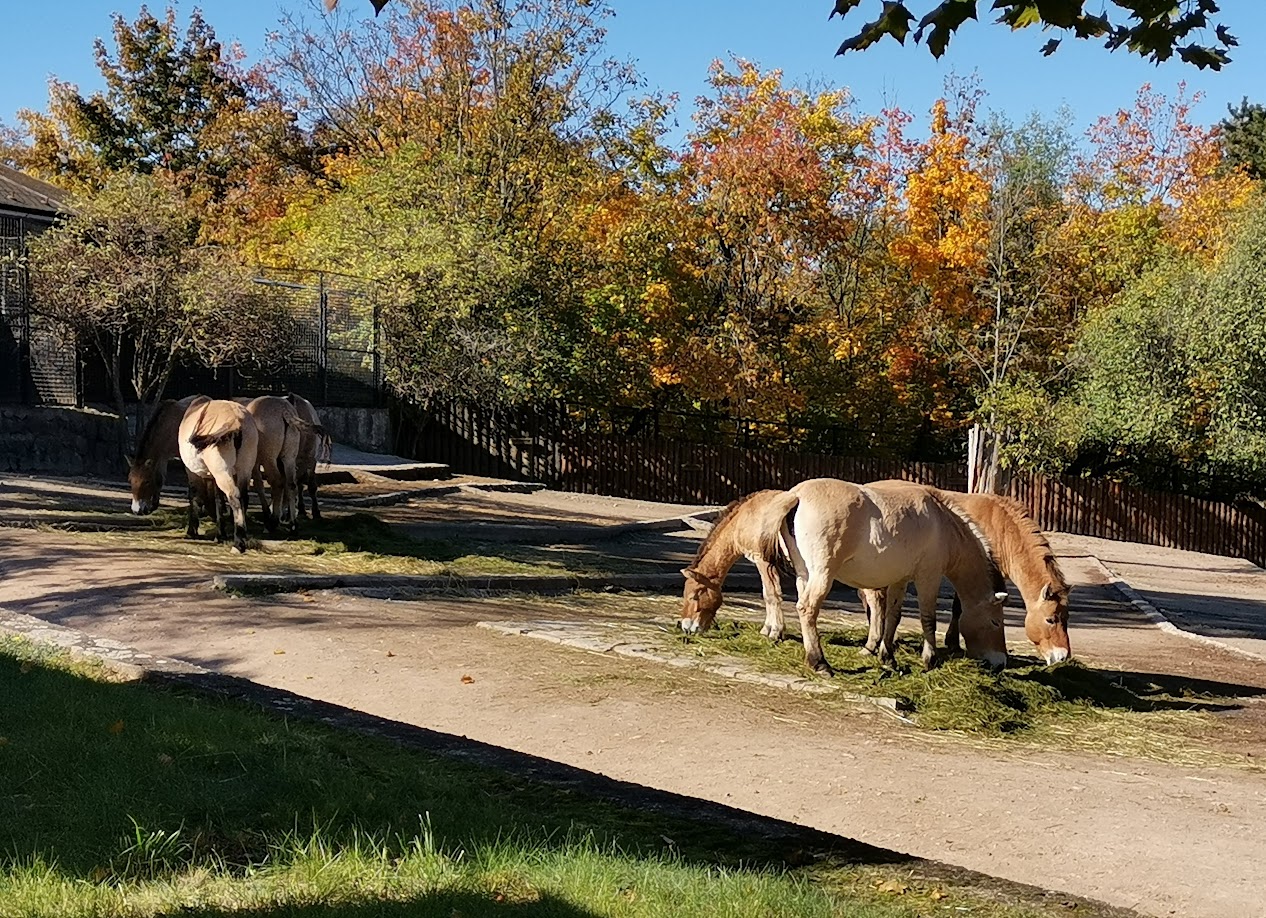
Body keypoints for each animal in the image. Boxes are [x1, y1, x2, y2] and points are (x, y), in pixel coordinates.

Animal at [178, 400, 259, 552]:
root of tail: (236, 421)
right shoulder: (214, 478)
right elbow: (219, 501)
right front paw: (220, 535)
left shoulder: (192, 473)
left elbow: (195, 497)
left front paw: (191, 532)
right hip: (244, 468)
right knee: (243, 498)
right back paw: (242, 537)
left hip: (222, 472)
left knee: (234, 496)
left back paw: (238, 543)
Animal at [683, 478, 1007, 673]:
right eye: (995, 621)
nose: (1000, 662)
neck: (943, 522)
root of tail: (796, 496)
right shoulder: (928, 575)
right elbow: (927, 617)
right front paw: (929, 659)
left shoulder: (901, 579)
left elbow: (894, 616)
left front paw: (888, 657)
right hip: (822, 574)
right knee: (807, 609)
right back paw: (819, 663)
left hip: (807, 574)